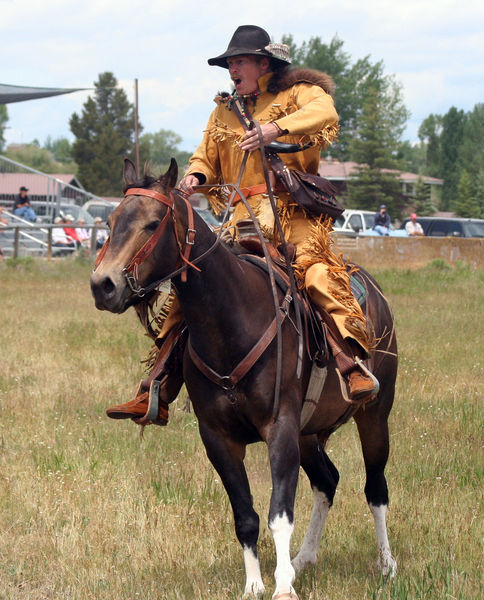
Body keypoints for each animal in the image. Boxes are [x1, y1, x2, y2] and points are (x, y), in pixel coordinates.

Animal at [90, 161, 398, 600]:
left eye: (151, 224)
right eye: (112, 221)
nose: (103, 285)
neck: (231, 322)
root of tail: (373, 292)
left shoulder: (280, 428)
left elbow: (279, 513)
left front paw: (282, 587)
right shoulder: (219, 438)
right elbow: (246, 515)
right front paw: (255, 583)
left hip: (373, 416)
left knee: (376, 489)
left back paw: (386, 564)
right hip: (309, 435)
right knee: (328, 482)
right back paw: (305, 559)